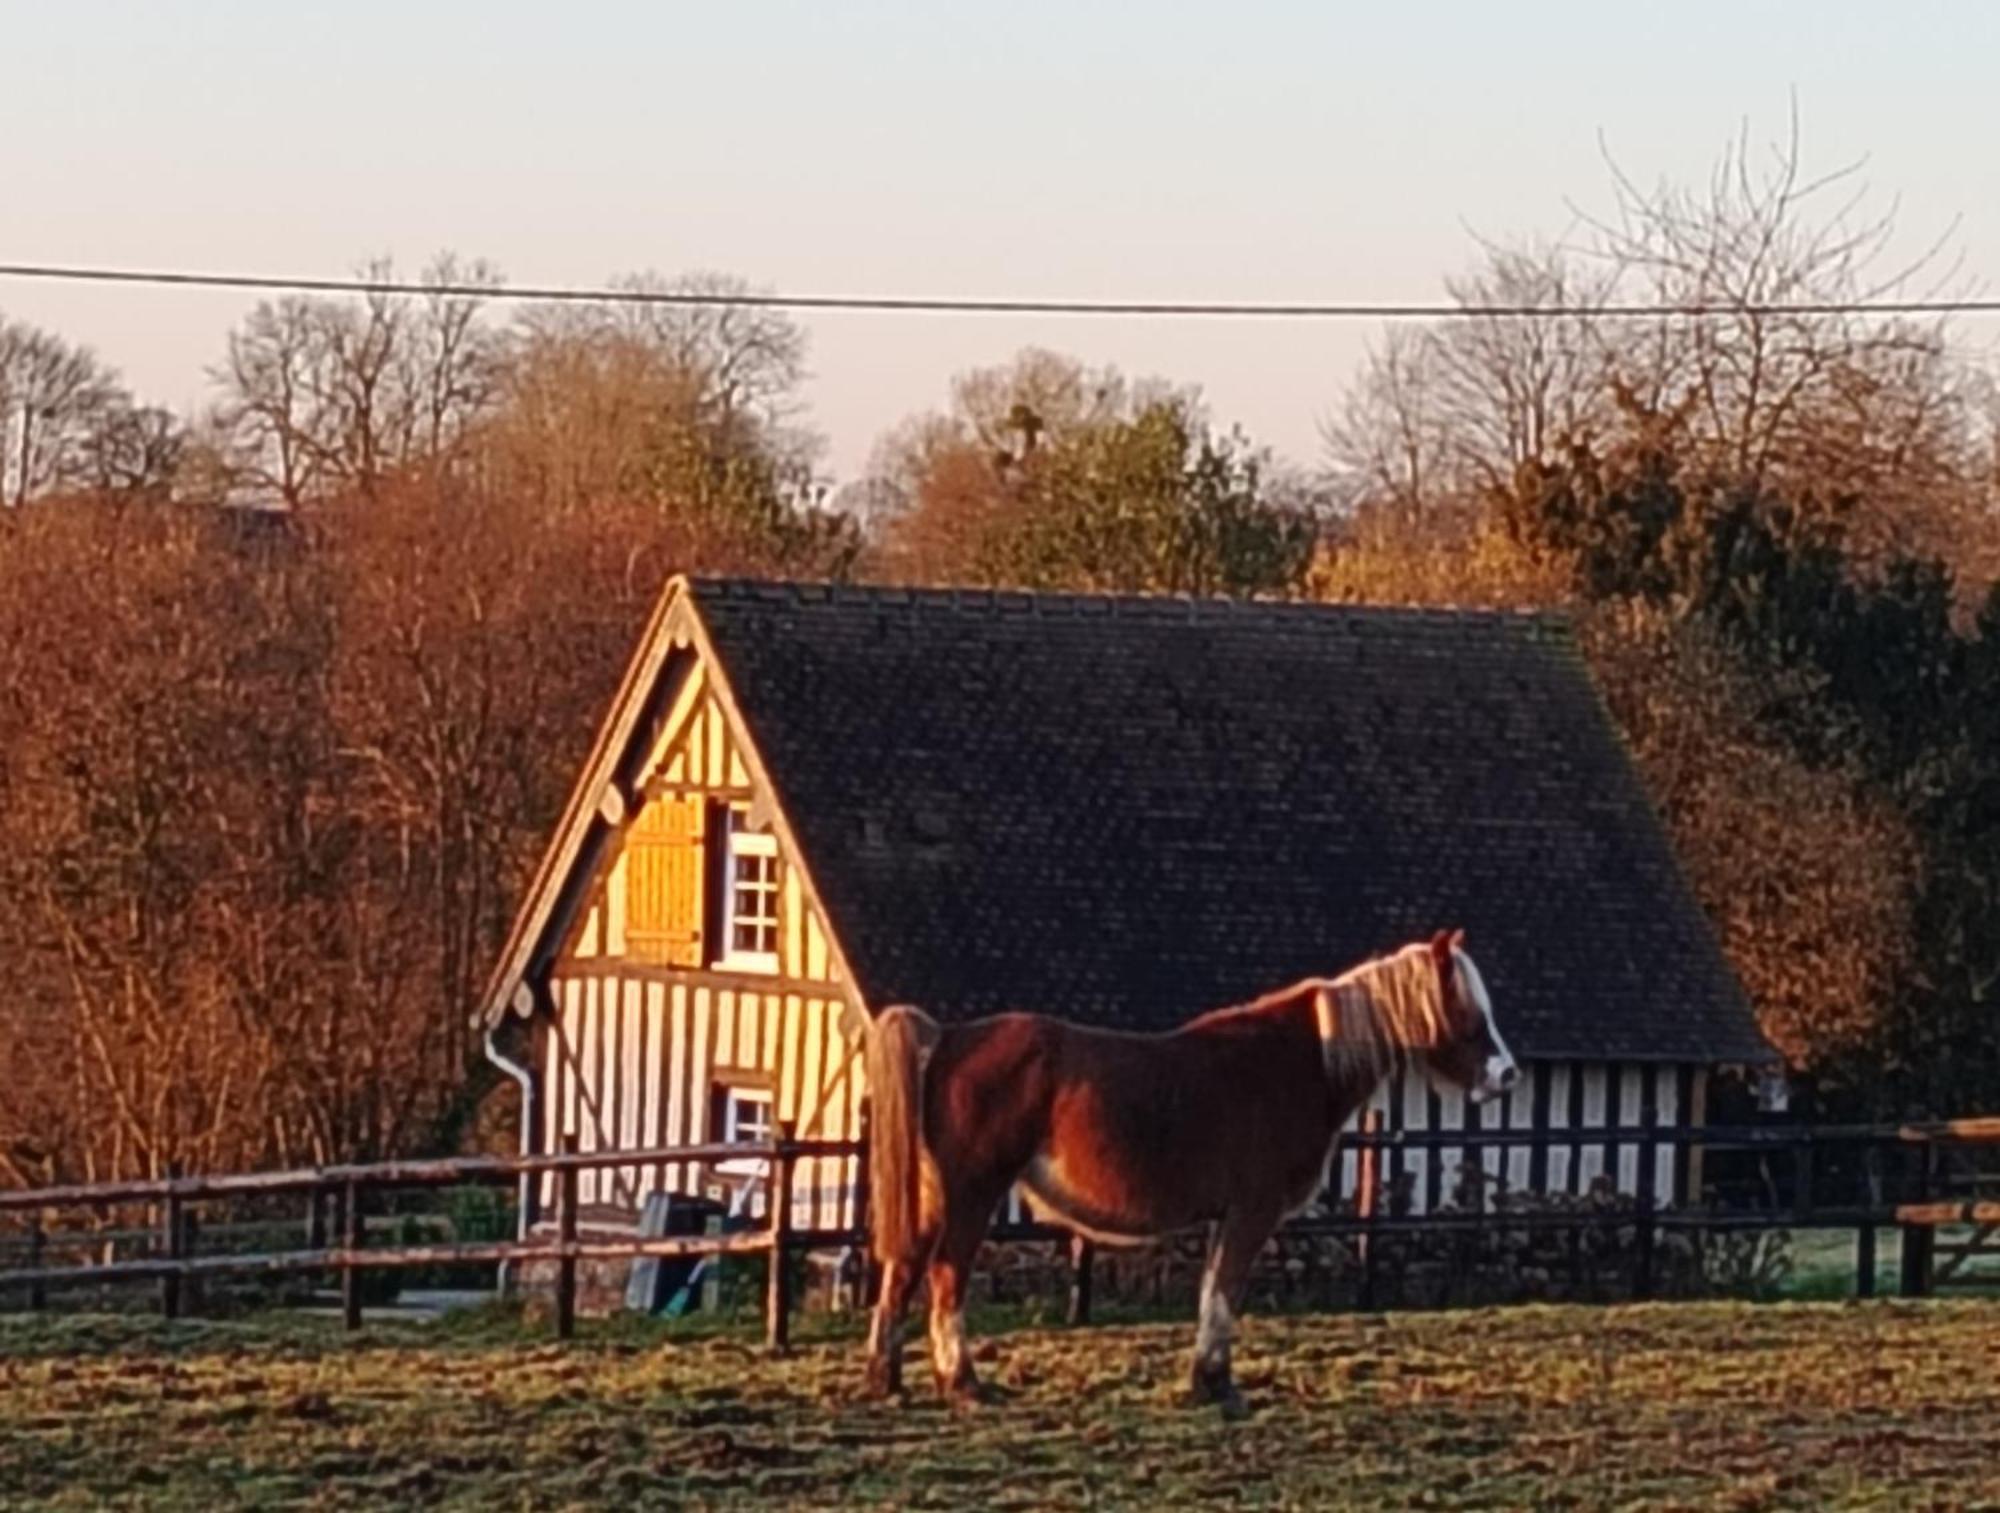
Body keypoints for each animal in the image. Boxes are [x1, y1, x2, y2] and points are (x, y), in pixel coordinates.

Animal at [856, 928, 1512, 1408]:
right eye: (1466, 1010)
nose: (1506, 1076)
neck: (1301, 1062)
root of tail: (948, 1038)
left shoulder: (1226, 1217)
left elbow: (1210, 1291)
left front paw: (1207, 1379)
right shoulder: (1252, 1212)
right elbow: (1225, 1291)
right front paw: (1216, 1384)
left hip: (934, 1197)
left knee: (904, 1271)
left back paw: (887, 1381)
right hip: (974, 1194)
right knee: (946, 1276)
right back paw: (963, 1384)